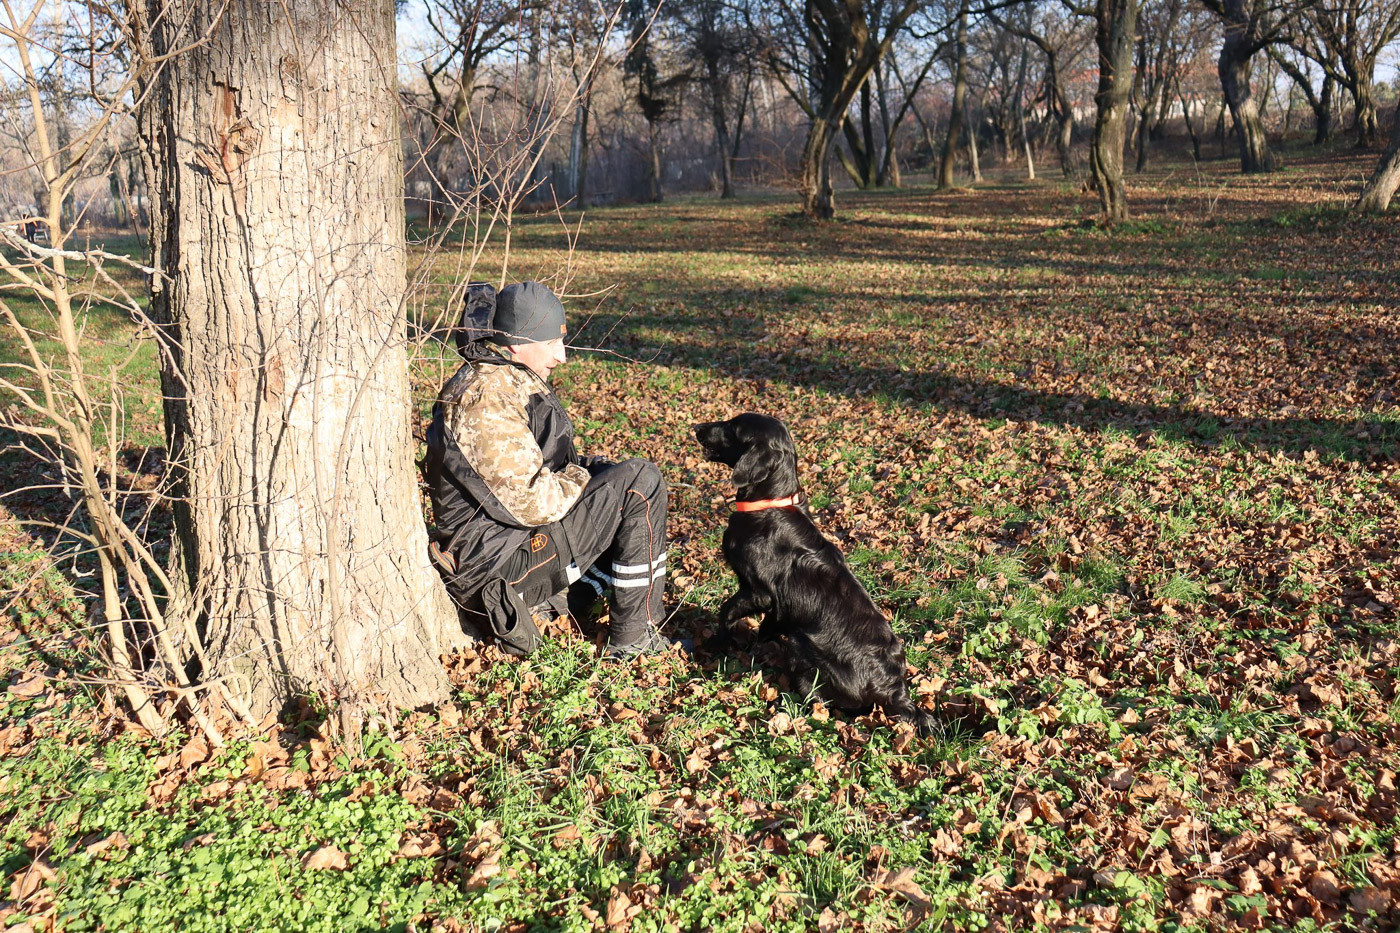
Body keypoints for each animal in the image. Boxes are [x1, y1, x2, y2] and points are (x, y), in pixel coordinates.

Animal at [693, 413, 935, 733]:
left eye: (733, 427)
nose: (697, 428)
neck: (769, 505)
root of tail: (895, 691)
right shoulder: (777, 607)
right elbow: (766, 628)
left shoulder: (760, 592)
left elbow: (726, 611)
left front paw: (719, 644)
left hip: (802, 644)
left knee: (821, 702)